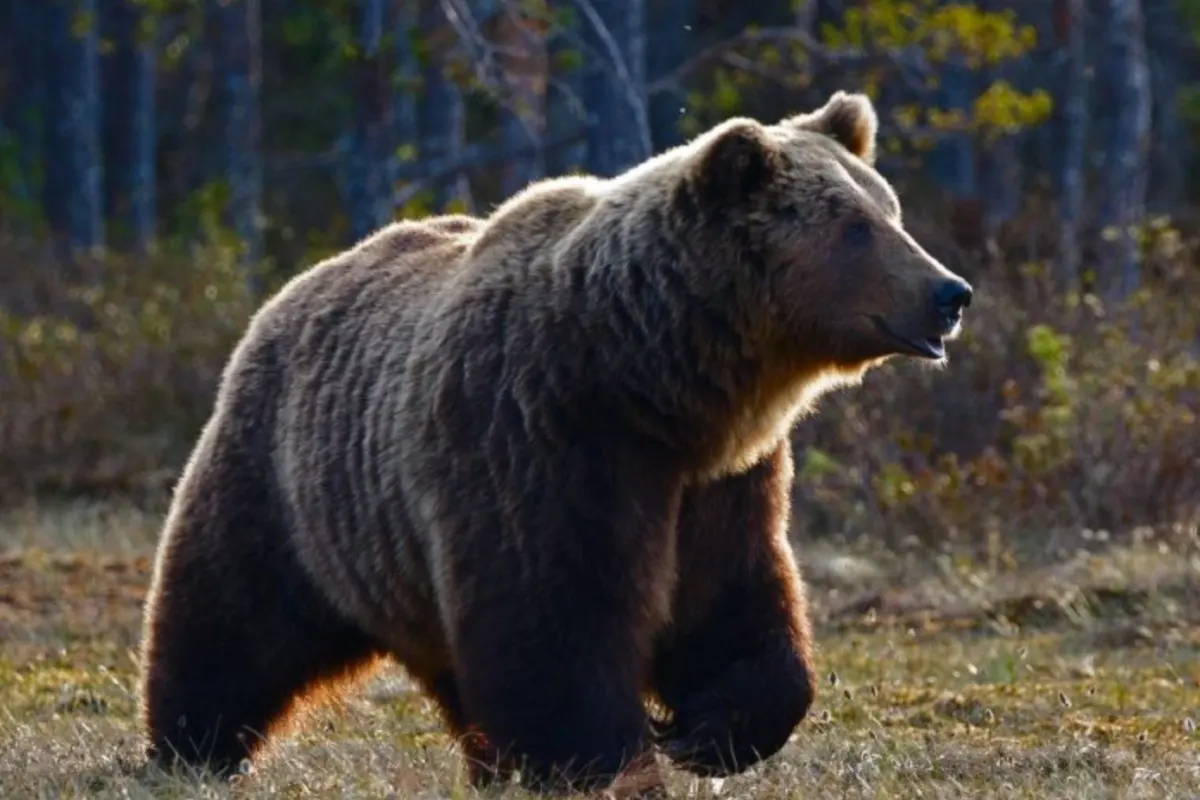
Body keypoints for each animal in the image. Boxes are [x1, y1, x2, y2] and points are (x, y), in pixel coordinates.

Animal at [136, 90, 972, 796]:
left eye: (890, 210)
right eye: (855, 227)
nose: (950, 291)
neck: (652, 380)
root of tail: (298, 285)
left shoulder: (721, 480)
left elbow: (733, 600)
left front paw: (709, 731)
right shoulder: (542, 437)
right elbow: (554, 618)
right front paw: (608, 760)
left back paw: (487, 763)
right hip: (289, 483)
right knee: (229, 615)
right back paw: (190, 747)